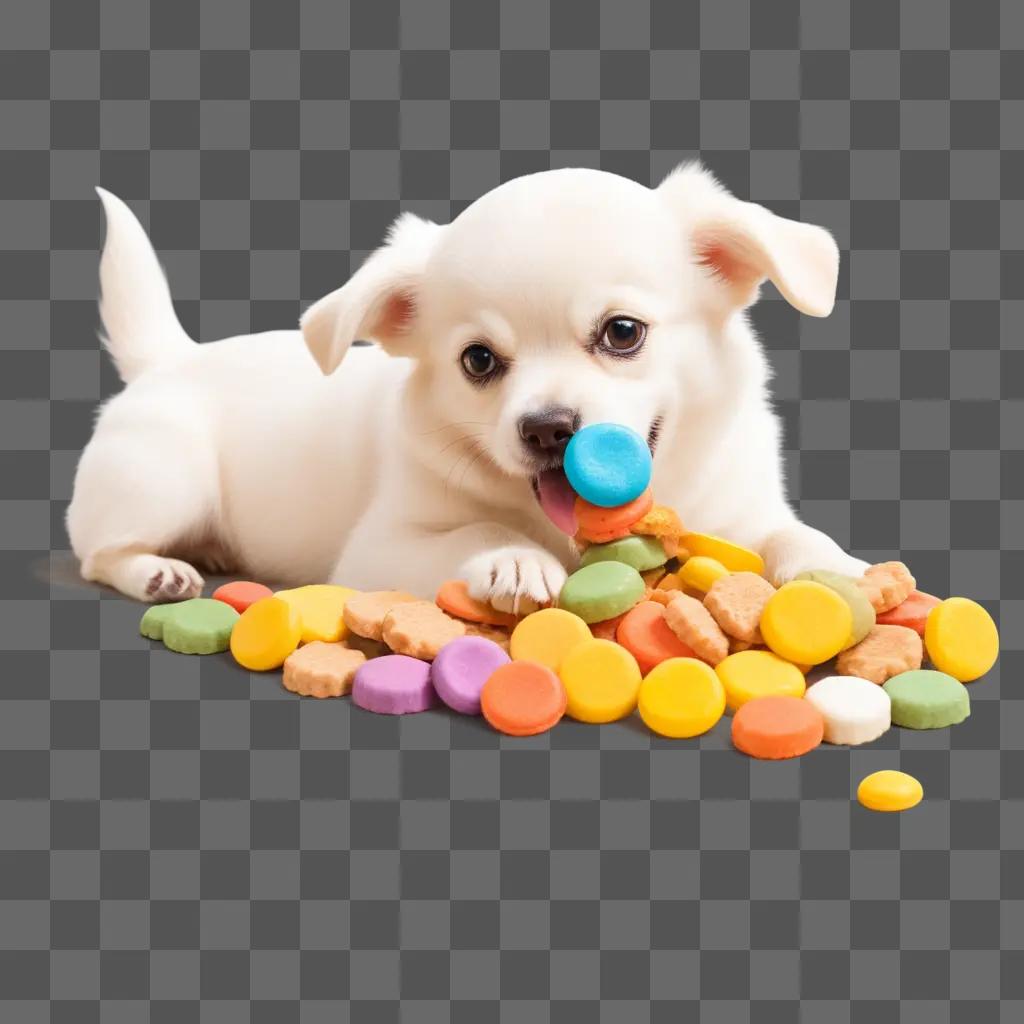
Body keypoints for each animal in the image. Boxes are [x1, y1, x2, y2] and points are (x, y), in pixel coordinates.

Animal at [66, 165, 864, 606]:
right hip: (165, 481)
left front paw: (836, 566)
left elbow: (791, 534)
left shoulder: (738, 515)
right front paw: (513, 557)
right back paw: (158, 573)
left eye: (622, 332)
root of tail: (168, 359)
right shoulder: (381, 548)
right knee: (99, 553)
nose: (546, 428)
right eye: (478, 362)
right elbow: (478, 529)